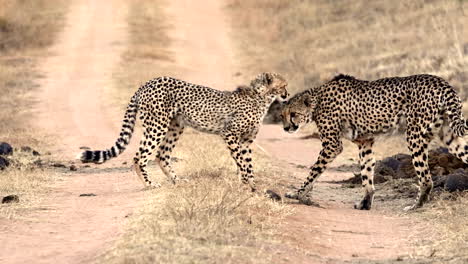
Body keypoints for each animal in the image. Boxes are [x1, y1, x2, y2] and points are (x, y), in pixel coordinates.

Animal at [80, 72, 288, 192]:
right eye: (283, 85)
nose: (287, 94)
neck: (261, 97)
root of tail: (147, 83)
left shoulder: (245, 140)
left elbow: (246, 161)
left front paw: (248, 183)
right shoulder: (229, 134)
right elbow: (243, 162)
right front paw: (249, 184)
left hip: (175, 126)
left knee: (162, 155)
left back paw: (177, 180)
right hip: (157, 125)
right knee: (140, 157)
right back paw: (149, 184)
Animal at [282, 73, 468, 210]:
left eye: (293, 114)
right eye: (282, 115)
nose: (286, 128)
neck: (317, 100)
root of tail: (441, 81)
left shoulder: (332, 145)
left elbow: (314, 171)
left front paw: (298, 194)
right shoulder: (365, 142)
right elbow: (366, 172)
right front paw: (365, 202)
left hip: (414, 136)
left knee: (426, 179)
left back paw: (416, 205)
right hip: (449, 136)